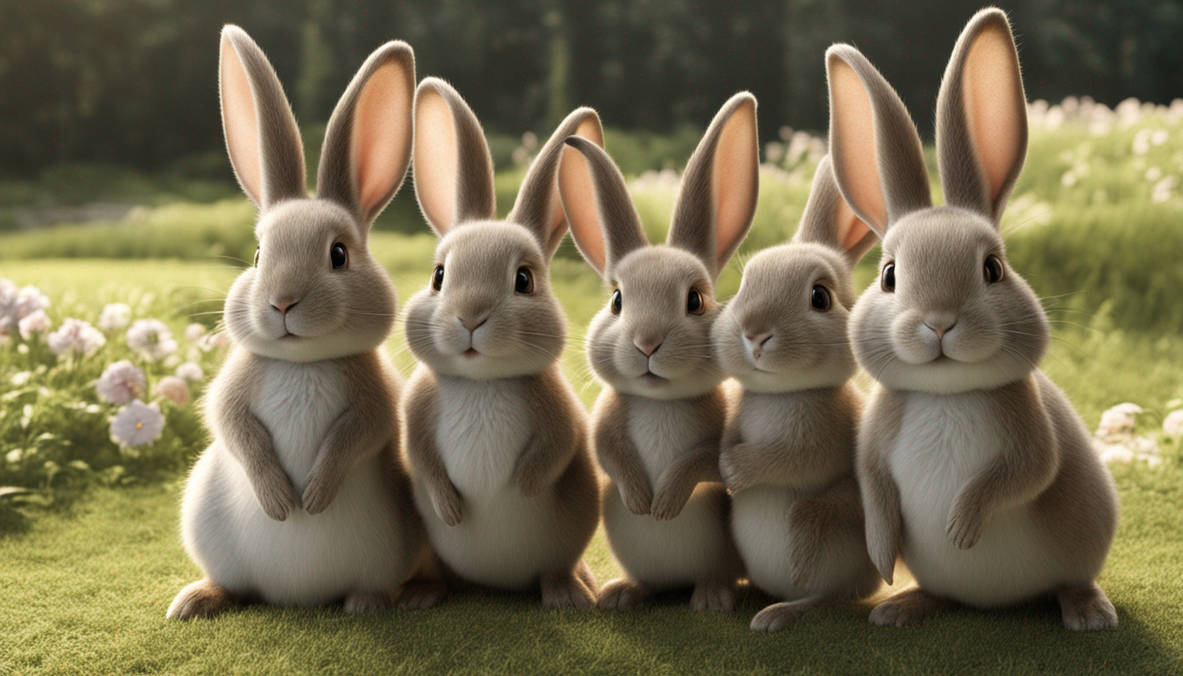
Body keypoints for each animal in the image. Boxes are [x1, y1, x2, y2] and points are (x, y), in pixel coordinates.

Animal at [167, 26, 426, 620]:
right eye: (259, 255)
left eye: (339, 255)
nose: (282, 303)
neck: (302, 363)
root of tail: (294, 597)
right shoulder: (234, 389)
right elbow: (234, 427)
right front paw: (282, 501)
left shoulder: (374, 399)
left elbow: (357, 434)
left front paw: (313, 495)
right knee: (233, 585)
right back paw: (196, 600)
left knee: (370, 585)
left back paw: (372, 603)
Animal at [400, 78, 602, 608]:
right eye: (439, 275)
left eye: (524, 280)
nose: (471, 316)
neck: (481, 383)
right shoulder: (417, 409)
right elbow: (422, 457)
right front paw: (451, 509)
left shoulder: (558, 411)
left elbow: (557, 446)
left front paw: (520, 490)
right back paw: (422, 593)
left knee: (557, 568)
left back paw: (571, 593)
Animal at [556, 93, 758, 611]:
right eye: (617, 300)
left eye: (696, 301)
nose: (647, 343)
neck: (659, 402)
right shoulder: (608, 421)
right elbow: (609, 451)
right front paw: (640, 500)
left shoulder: (717, 438)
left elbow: (701, 461)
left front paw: (663, 504)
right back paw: (622, 594)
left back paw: (710, 598)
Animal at [712, 155, 882, 631]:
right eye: (745, 285)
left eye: (820, 297)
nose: (754, 333)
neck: (781, 393)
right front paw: (725, 473)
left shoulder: (817, 445)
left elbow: (784, 463)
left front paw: (734, 473)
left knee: (830, 596)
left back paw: (779, 612)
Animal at [826, 8, 1119, 630]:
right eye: (889, 275)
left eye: (993, 269)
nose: (939, 323)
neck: (947, 394)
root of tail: (995, 605)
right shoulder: (875, 439)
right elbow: (874, 495)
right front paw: (883, 560)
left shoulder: (1029, 429)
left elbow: (1024, 473)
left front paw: (960, 527)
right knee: (944, 595)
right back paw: (902, 605)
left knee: (1071, 580)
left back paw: (1087, 612)